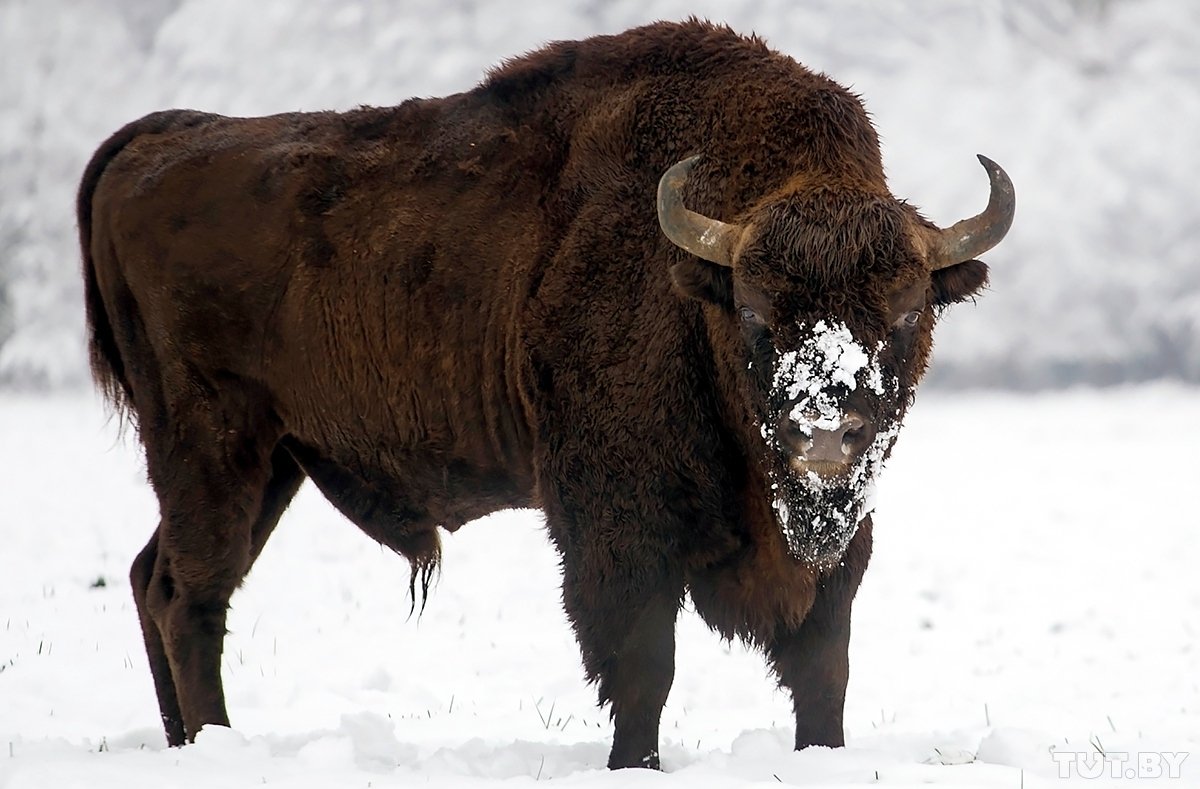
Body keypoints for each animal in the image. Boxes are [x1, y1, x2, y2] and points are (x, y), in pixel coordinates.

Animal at [77, 19, 1012, 767]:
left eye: (906, 308)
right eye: (753, 309)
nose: (823, 432)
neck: (691, 287)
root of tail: (156, 142)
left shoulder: (836, 547)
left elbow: (823, 665)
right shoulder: (615, 526)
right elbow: (642, 664)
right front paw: (634, 763)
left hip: (276, 460)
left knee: (155, 576)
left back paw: (186, 741)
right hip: (213, 448)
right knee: (189, 594)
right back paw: (210, 741)